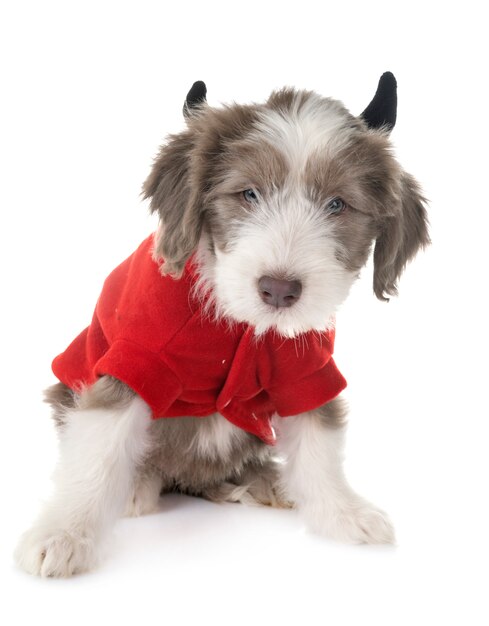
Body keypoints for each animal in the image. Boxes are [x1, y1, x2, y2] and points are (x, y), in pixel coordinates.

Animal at [14, 74, 428, 576]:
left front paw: (342, 511)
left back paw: (264, 480)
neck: (242, 324)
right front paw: (64, 533)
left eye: (337, 205)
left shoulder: (307, 369)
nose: (279, 290)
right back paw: (138, 485)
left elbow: (318, 438)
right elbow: (100, 444)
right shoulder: (136, 356)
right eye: (249, 194)